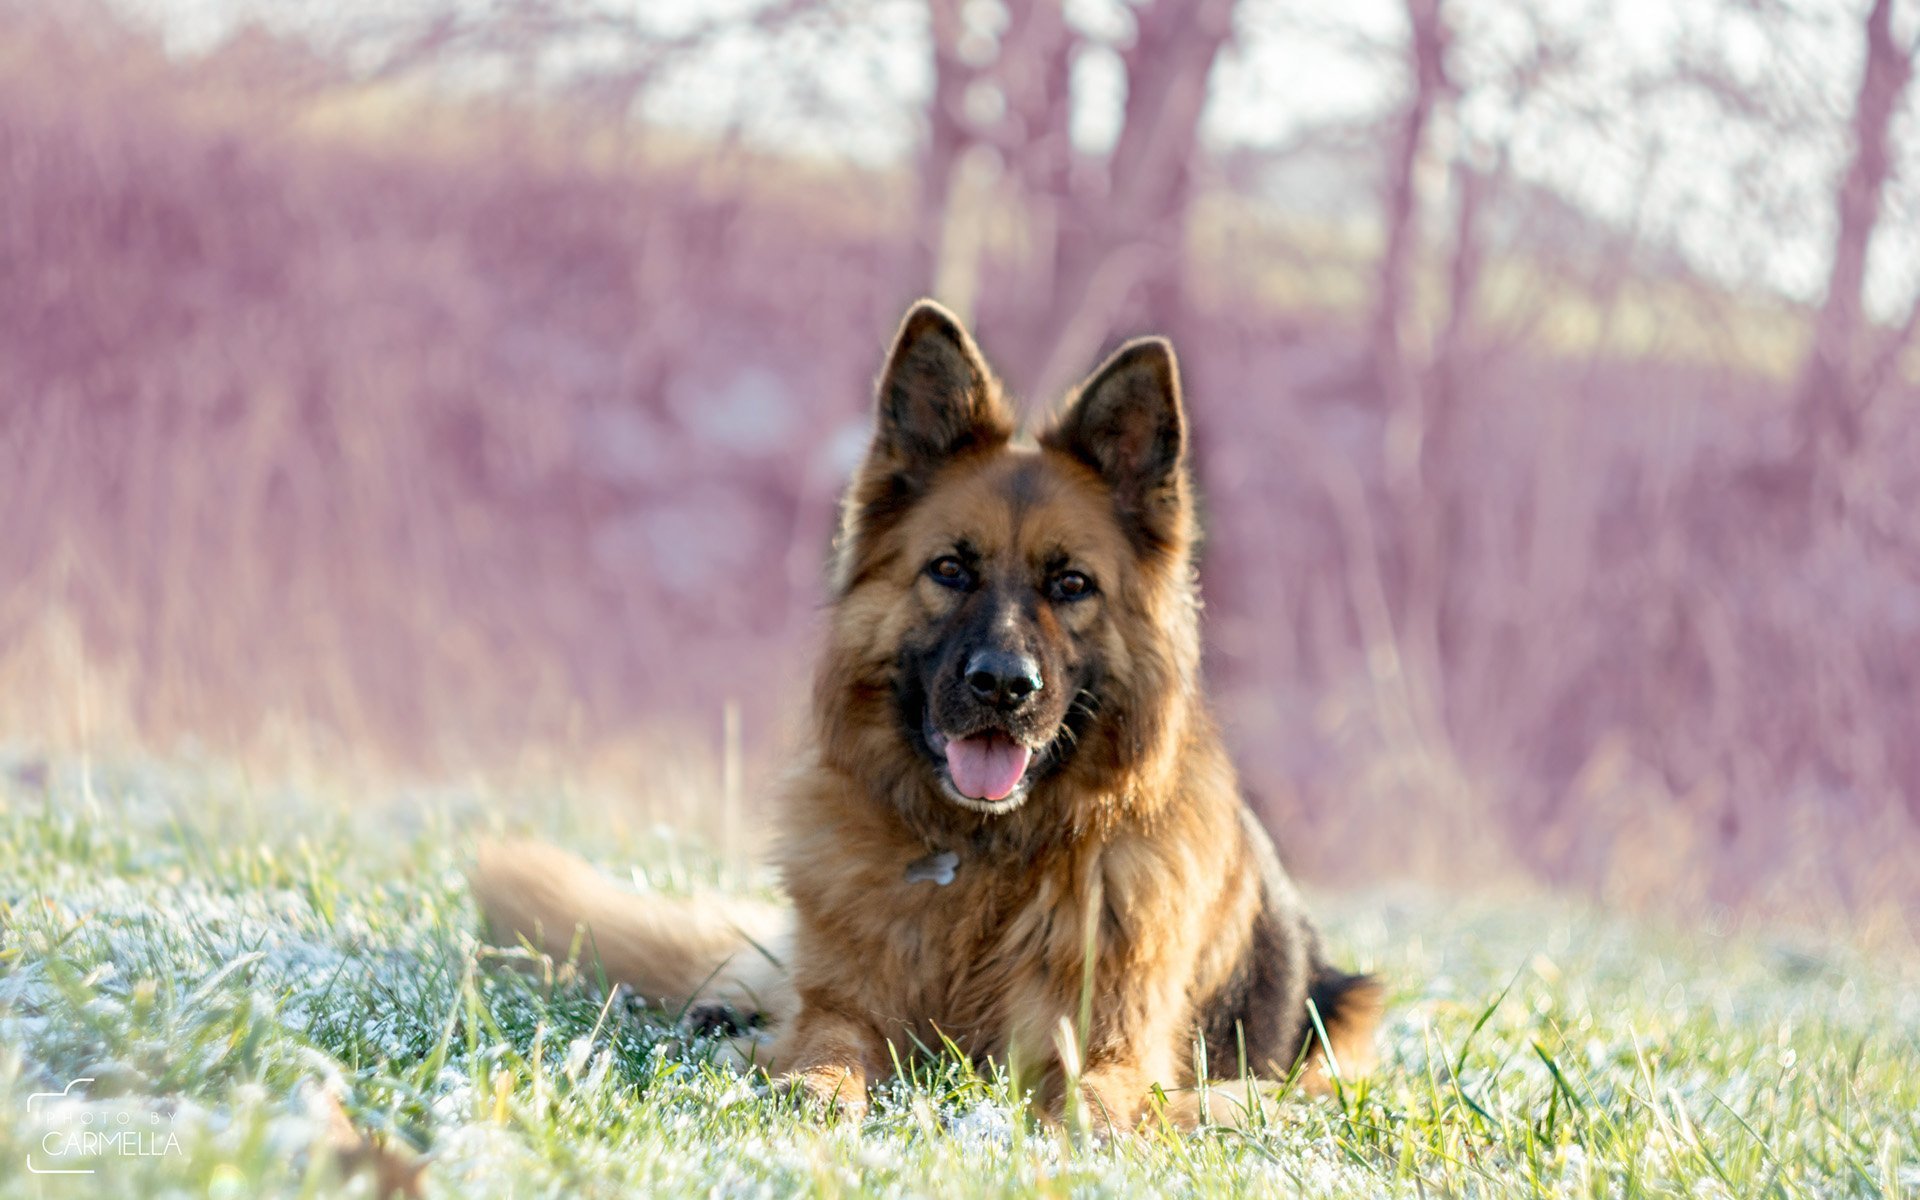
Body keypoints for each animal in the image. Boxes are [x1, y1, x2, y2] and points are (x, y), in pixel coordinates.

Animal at [476, 303, 1382, 1128]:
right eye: (950, 570)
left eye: (1072, 585)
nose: (1003, 686)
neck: (983, 860)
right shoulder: (847, 1008)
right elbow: (827, 1041)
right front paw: (813, 1090)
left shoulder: (1111, 1049)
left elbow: (1094, 1104)